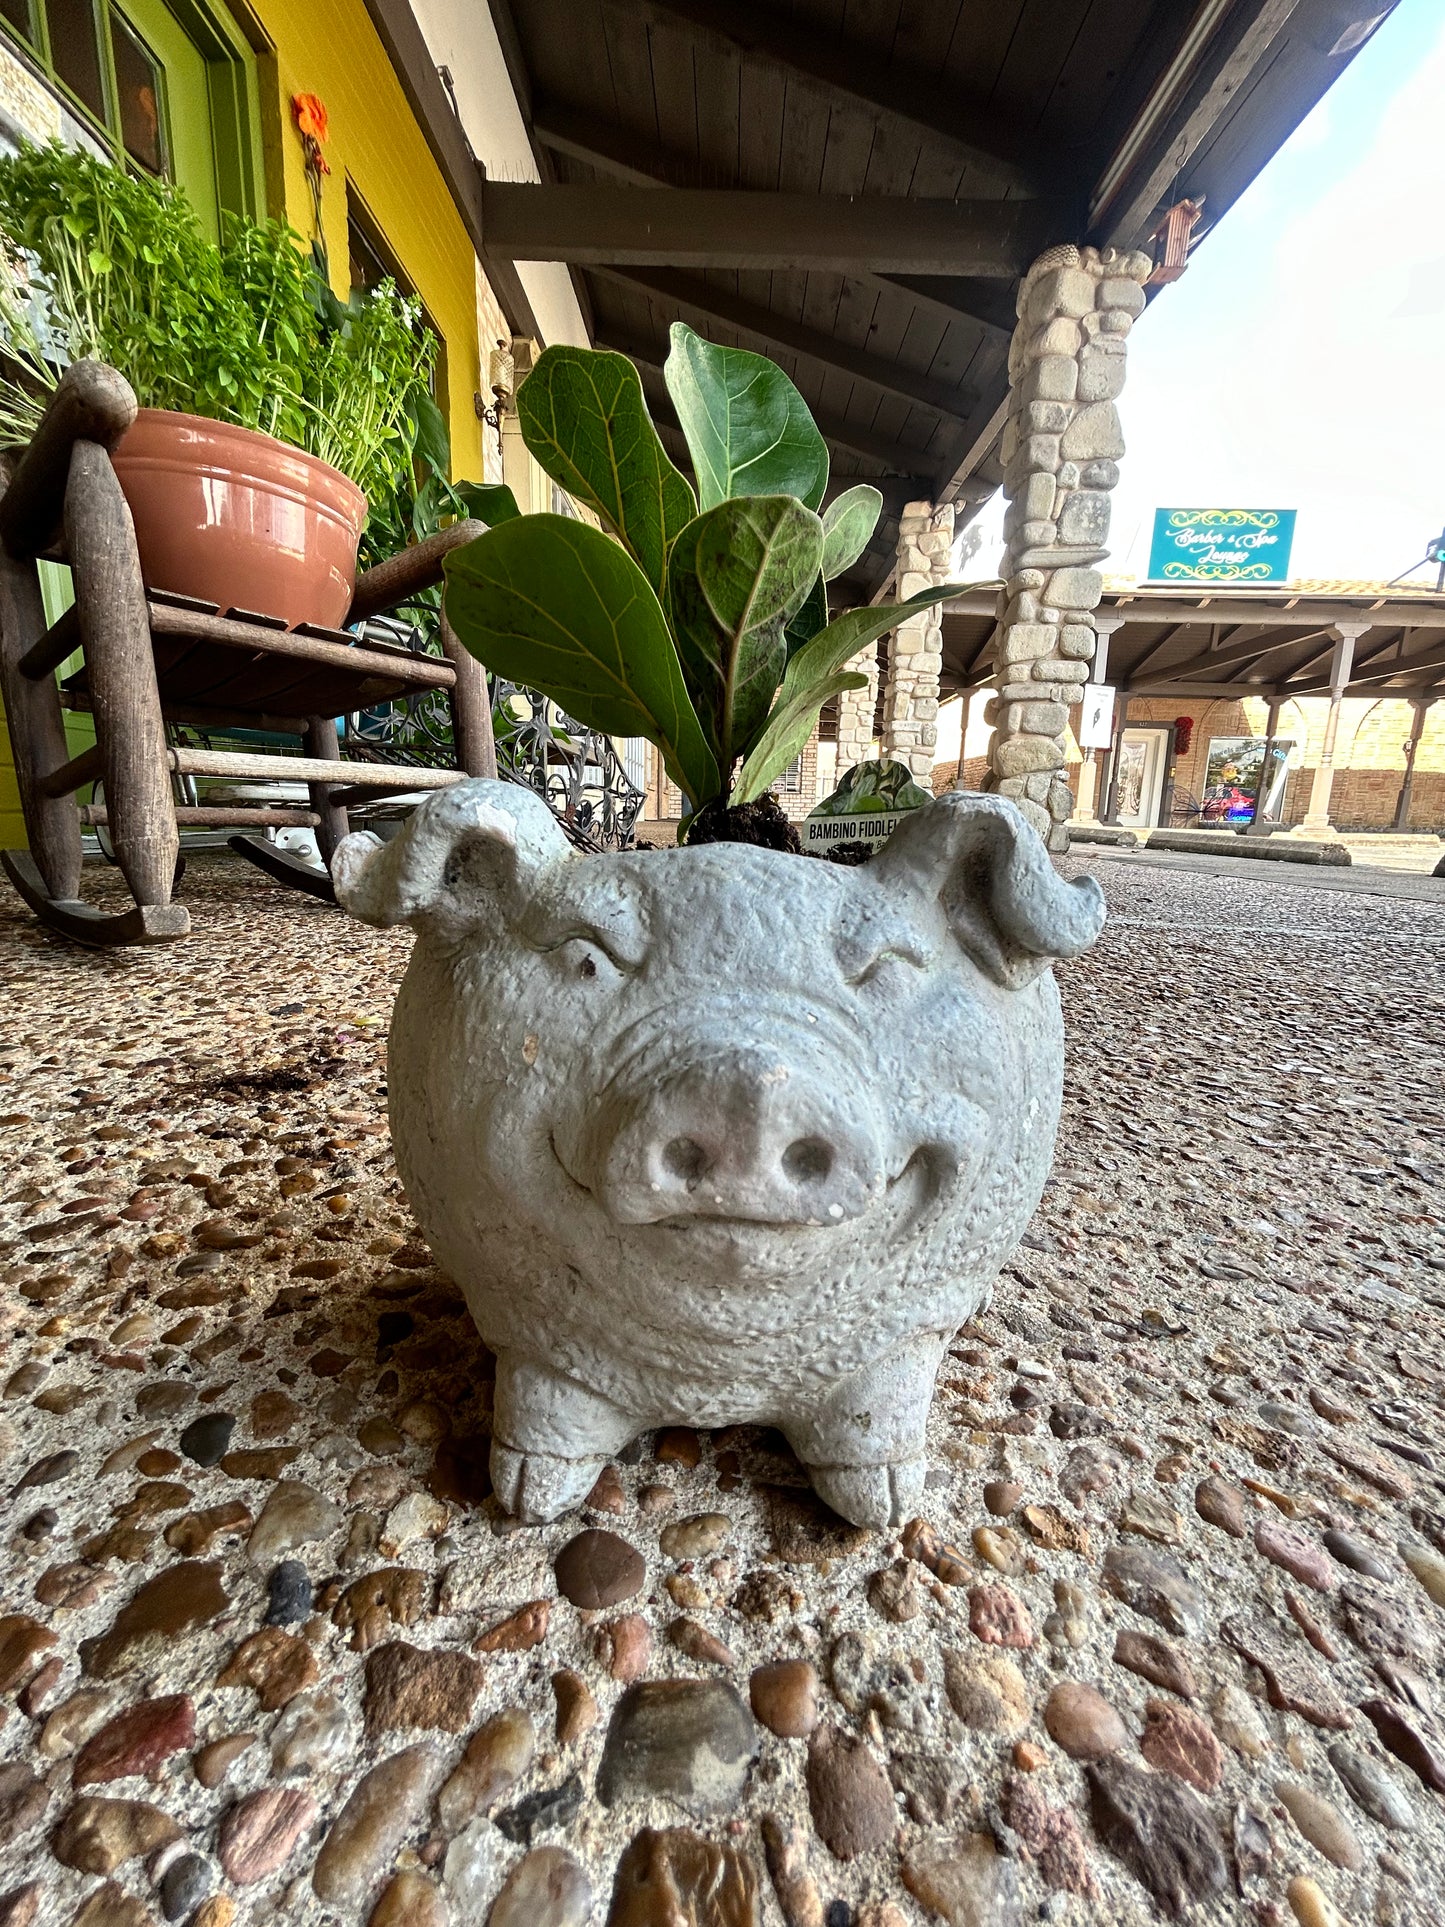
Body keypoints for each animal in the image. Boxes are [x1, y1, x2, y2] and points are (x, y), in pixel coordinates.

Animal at [334, 779, 1104, 1531]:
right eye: (586, 957)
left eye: (885, 968)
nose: (745, 1087)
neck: (720, 1376)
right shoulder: (525, 1335)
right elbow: (546, 1405)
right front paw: (528, 1500)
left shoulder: (903, 1338)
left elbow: (879, 1407)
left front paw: (885, 1507)